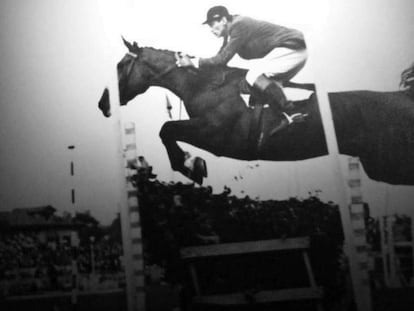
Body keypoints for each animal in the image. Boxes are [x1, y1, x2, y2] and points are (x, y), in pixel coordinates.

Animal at [99, 40, 414, 188]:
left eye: (120, 66)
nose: (103, 104)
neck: (204, 84)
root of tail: (405, 97)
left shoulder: (217, 135)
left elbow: (167, 128)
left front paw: (192, 165)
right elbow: (167, 129)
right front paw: (191, 165)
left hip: (390, 162)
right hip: (379, 166)